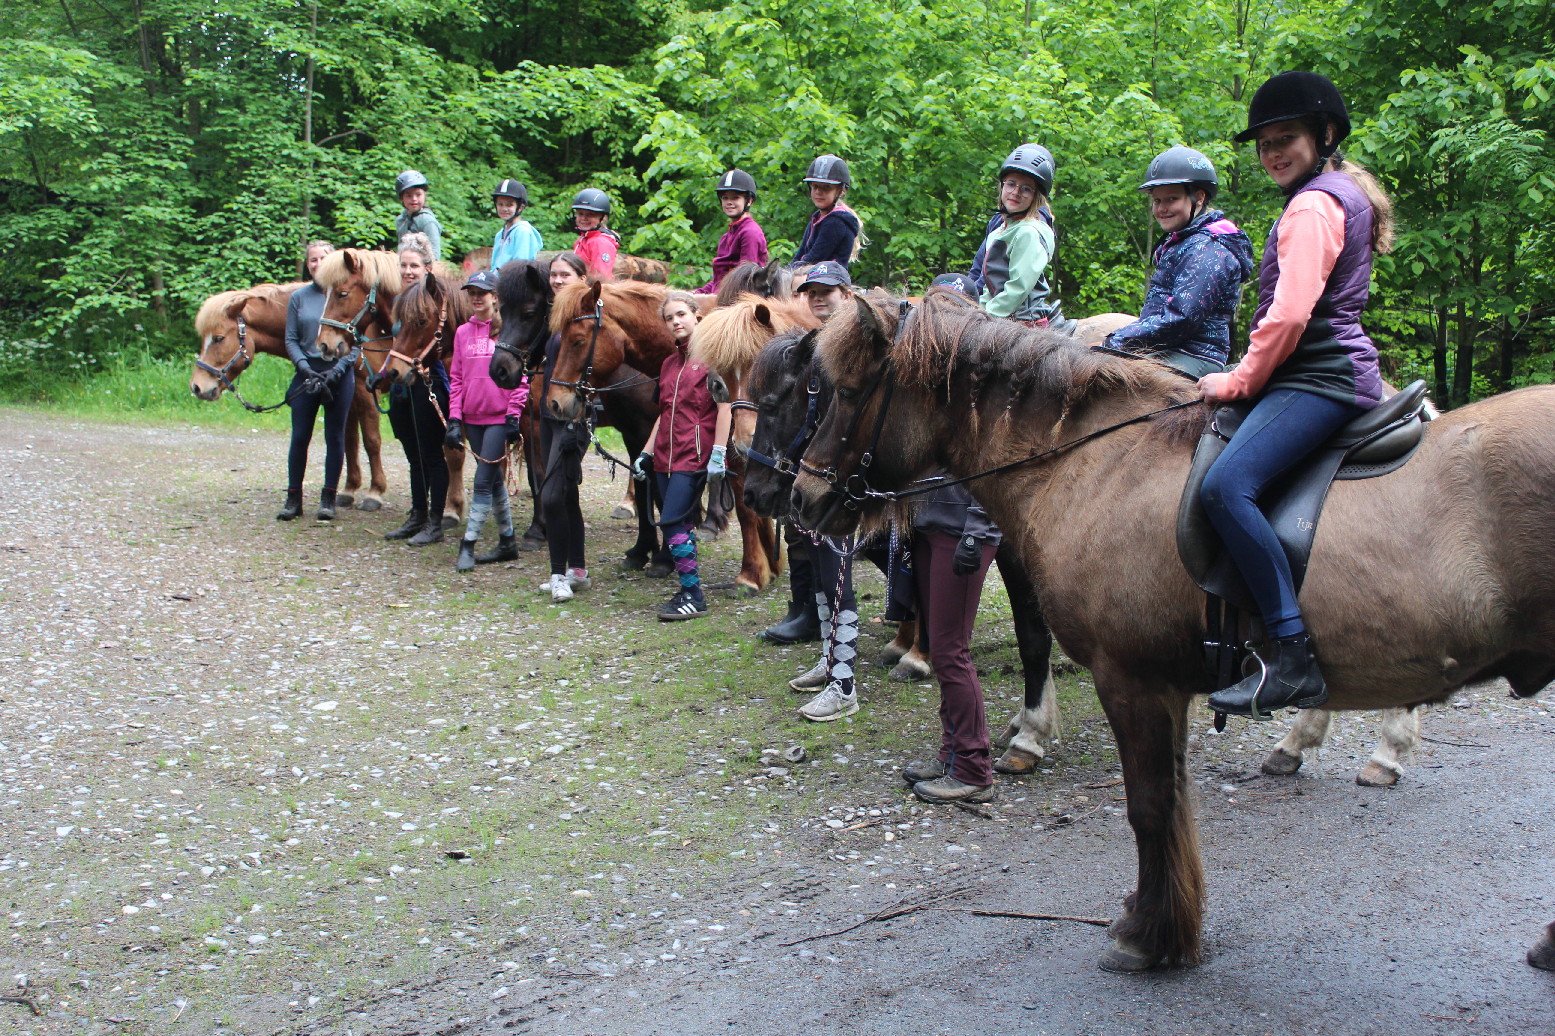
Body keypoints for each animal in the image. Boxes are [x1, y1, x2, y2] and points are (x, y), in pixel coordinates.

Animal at [190, 282, 388, 511]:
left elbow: (371, 442)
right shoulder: (350, 399)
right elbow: (350, 442)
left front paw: (375, 492)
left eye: (219, 338)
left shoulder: (366, 394)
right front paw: (349, 490)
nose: (197, 387)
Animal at [314, 249, 467, 522]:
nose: (324, 345)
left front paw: (452, 508)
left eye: (342, 293)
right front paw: (353, 490)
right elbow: (356, 440)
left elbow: (453, 453)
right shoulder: (361, 390)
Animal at [792, 287, 1555, 973]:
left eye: (848, 391)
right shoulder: (1166, 688)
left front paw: (1150, 935)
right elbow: (1173, 801)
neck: (1097, 460)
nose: (803, 497)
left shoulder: (1132, 681)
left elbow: (1151, 808)